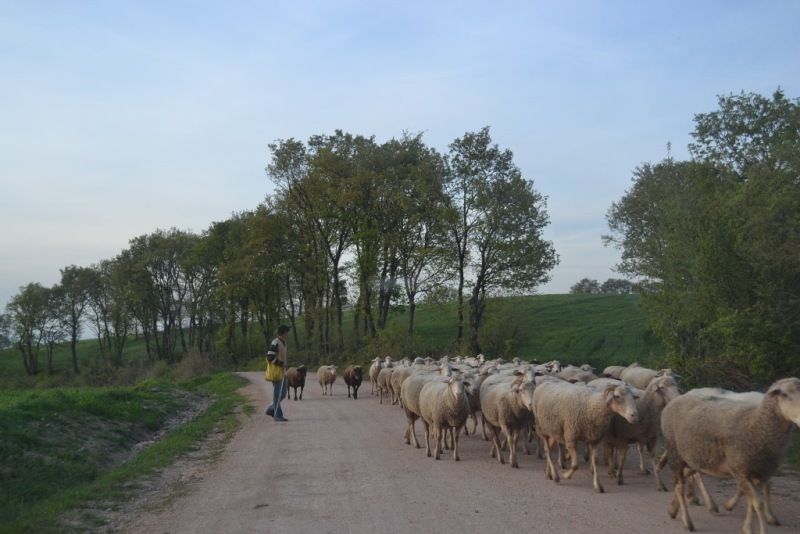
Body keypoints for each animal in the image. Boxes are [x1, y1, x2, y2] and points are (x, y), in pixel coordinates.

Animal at [660, 377, 800, 534]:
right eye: (785, 395)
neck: (756, 420)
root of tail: (676, 400)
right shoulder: (742, 468)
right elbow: (757, 502)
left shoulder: (760, 470)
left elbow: (754, 498)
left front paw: (749, 524)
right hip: (676, 453)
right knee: (680, 485)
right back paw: (687, 520)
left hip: (693, 455)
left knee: (686, 476)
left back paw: (676, 507)